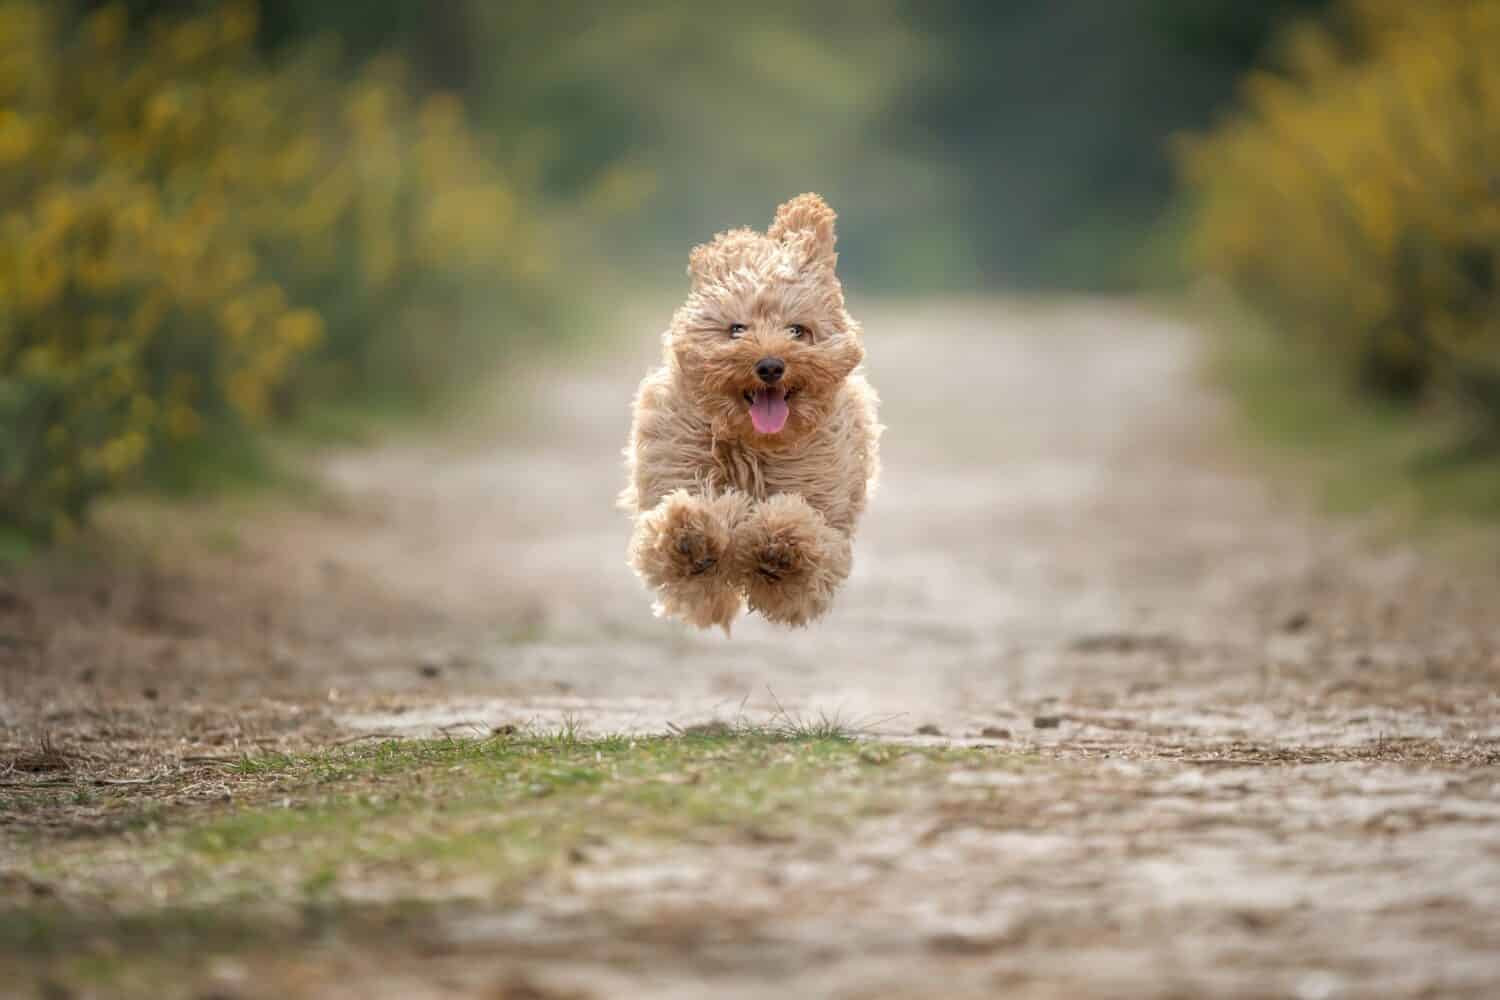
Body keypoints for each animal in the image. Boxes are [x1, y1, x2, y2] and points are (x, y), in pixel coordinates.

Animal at [618, 193, 876, 632]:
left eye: (797, 330)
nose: (770, 366)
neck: (753, 443)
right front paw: (693, 533)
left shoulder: (825, 515)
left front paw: (778, 544)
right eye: (737, 329)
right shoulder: (676, 464)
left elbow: (806, 535)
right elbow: (679, 527)